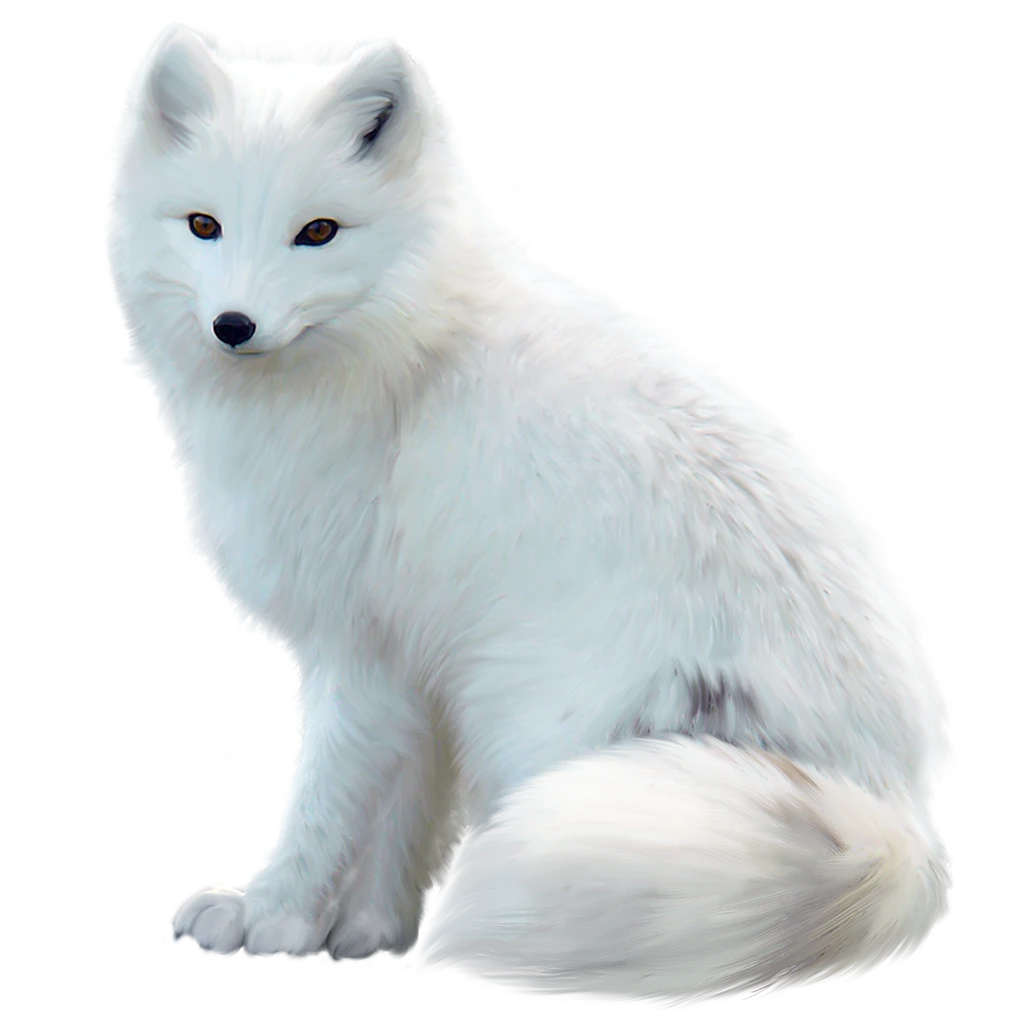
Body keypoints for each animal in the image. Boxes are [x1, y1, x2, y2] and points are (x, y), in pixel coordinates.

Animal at [101, 20, 954, 1010]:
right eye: (203, 224)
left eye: (317, 232)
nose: (233, 325)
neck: (402, 357)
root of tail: (897, 821)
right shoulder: (417, 666)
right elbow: (400, 820)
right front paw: (367, 933)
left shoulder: (361, 653)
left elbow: (323, 805)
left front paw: (267, 916)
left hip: (546, 735)